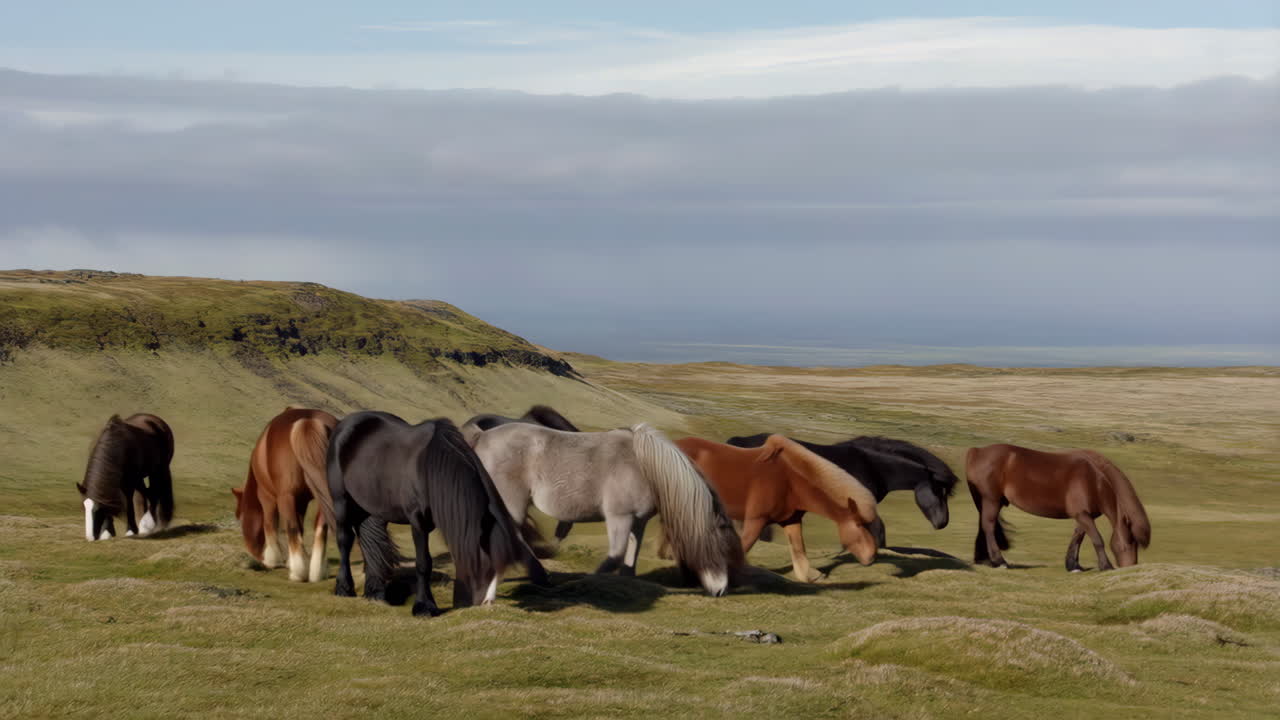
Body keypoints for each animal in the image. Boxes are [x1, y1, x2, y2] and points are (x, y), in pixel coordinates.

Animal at [232, 407, 335, 582]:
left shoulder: (267, 497)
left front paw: (273, 559)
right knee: (320, 528)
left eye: (240, 518)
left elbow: (270, 524)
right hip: (323, 496)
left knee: (291, 527)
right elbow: (300, 528)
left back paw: (297, 573)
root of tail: (308, 421)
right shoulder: (301, 501)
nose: (255, 554)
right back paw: (316, 573)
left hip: (285, 497)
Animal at [317, 411, 548, 616]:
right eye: (486, 568)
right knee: (345, 541)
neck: (428, 468)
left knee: (372, 544)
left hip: (372, 509)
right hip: (341, 502)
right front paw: (425, 606)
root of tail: (345, 424)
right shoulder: (418, 522)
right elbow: (423, 564)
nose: (484, 604)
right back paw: (344, 588)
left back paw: (375, 593)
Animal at [463, 421, 744, 597]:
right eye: (721, 548)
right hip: (513, 505)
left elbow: (630, 557)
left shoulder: (637, 521)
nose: (721, 590)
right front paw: (588, 582)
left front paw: (627, 584)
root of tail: (482, 436)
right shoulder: (619, 517)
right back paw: (539, 576)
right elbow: (616, 555)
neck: (643, 466)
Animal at [675, 435, 879, 583]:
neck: (789, 480)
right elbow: (743, 547)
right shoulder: (756, 520)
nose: (872, 557)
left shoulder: (791, 521)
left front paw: (810, 576)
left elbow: (799, 550)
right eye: (859, 525)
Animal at [965, 444, 1151, 571]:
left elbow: (1078, 537)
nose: (1130, 568)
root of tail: (977, 451)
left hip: (986, 501)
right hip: (991, 500)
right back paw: (1000, 561)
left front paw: (1073, 565)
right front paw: (1105, 566)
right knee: (988, 526)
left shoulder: (1085, 516)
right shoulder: (1082, 514)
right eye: (1130, 543)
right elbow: (1097, 539)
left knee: (984, 526)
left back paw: (986, 559)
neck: (1094, 481)